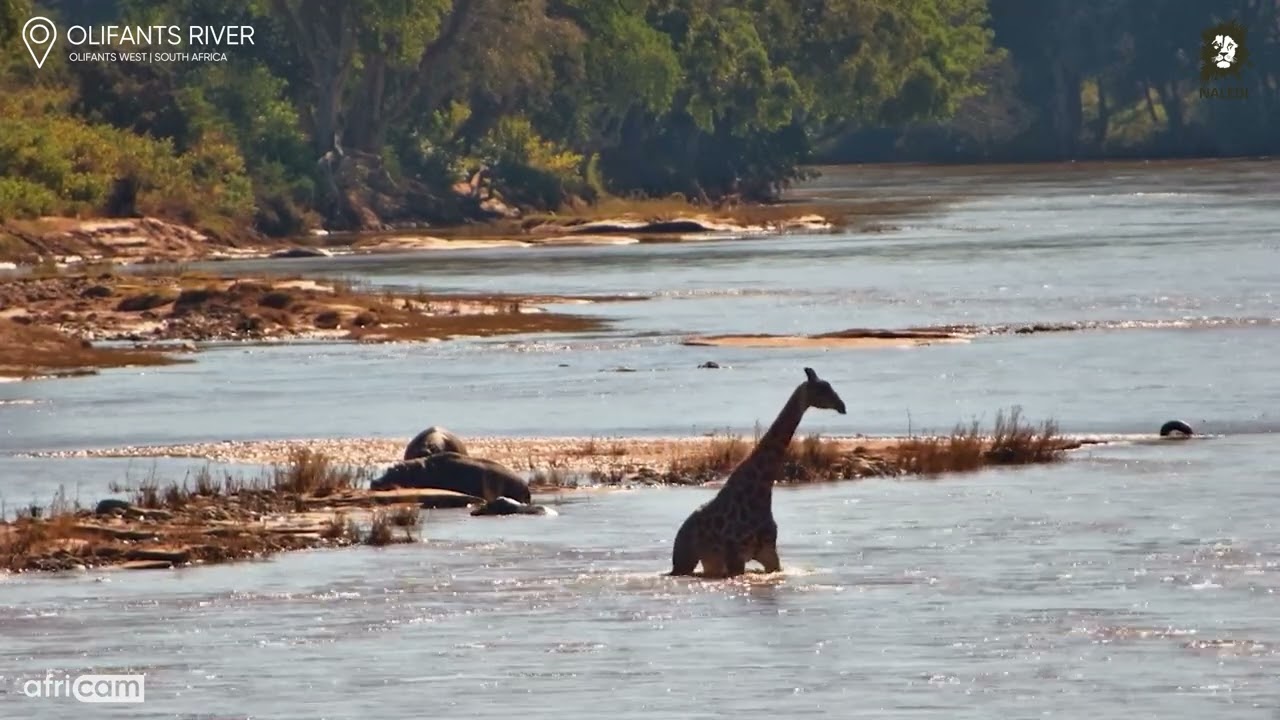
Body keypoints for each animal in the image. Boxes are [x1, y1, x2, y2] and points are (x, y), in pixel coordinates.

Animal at [668, 367, 847, 578]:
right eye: (822, 389)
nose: (842, 406)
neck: (762, 491)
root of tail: (680, 532)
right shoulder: (735, 555)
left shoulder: (768, 552)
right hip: (685, 560)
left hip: (710, 561)